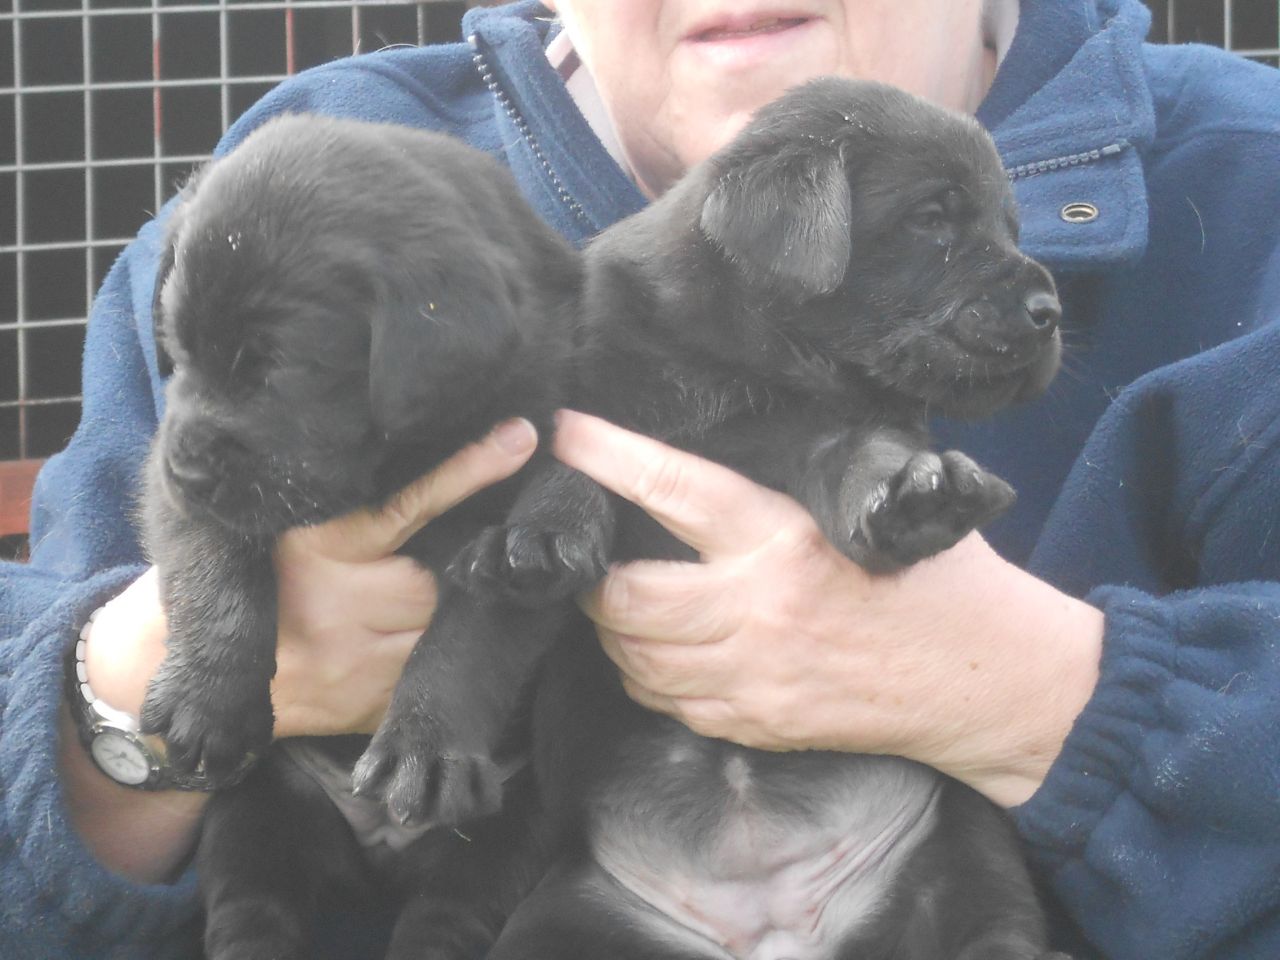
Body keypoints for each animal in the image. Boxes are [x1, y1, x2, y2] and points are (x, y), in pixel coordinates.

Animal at [142, 114, 578, 960]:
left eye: (278, 369)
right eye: (178, 351)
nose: (188, 467)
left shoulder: (515, 527)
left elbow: (471, 637)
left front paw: (424, 749)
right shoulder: (172, 491)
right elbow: (215, 567)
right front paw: (206, 701)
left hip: (513, 827)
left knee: (447, 916)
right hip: (254, 809)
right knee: (253, 906)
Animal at [384, 77, 1075, 960]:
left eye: (1009, 226)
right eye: (933, 217)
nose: (1048, 309)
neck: (757, 362)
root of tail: (773, 925)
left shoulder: (832, 427)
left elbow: (863, 453)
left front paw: (918, 497)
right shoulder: (578, 402)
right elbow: (490, 604)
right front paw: (427, 739)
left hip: (964, 844)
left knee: (994, 926)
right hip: (560, 922)